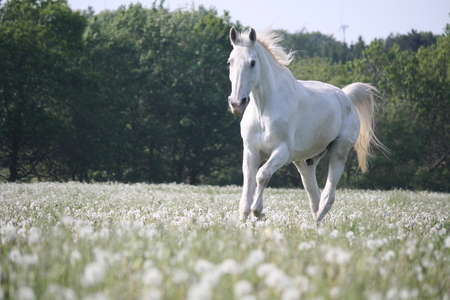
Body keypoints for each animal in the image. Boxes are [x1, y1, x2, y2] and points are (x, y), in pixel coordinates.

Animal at [229, 27, 386, 221]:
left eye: (252, 63)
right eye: (230, 62)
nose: (236, 103)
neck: (263, 110)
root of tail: (346, 96)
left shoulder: (282, 151)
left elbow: (262, 175)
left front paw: (259, 212)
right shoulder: (251, 151)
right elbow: (247, 189)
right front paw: (246, 221)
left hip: (339, 151)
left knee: (327, 197)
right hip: (305, 163)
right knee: (314, 197)